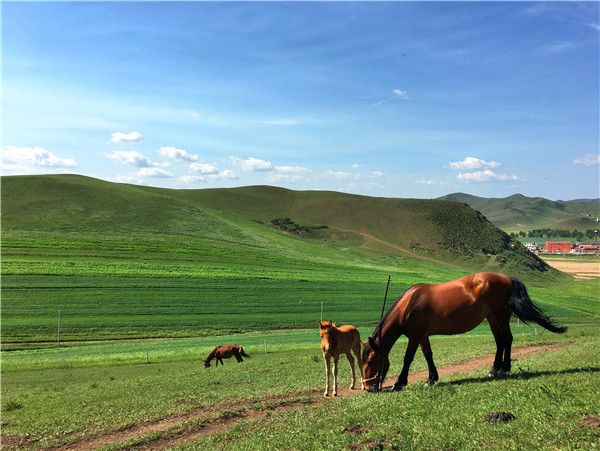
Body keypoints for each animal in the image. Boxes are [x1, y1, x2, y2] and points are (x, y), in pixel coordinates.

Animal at [360, 272, 568, 392]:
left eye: (371, 361)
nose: (368, 387)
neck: (408, 305)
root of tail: (508, 279)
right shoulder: (423, 336)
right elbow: (428, 355)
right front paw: (432, 378)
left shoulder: (415, 336)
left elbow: (408, 358)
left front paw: (400, 382)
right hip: (492, 318)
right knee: (500, 341)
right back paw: (494, 369)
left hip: (500, 316)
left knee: (507, 339)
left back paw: (504, 368)